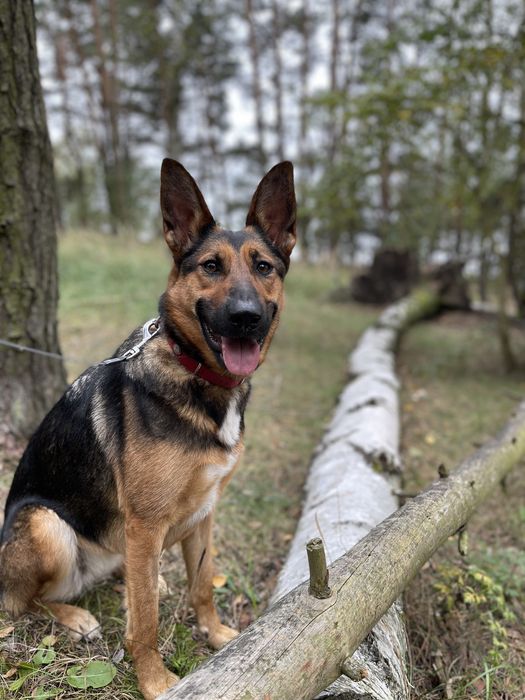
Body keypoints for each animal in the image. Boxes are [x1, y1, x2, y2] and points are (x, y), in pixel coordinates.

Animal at [0, 160, 294, 700]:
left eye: (263, 266)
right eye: (211, 267)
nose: (246, 318)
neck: (197, 374)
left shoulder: (204, 511)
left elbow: (202, 584)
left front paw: (216, 634)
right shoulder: (147, 520)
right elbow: (148, 624)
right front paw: (156, 681)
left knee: (126, 575)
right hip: (47, 525)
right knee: (25, 601)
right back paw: (75, 616)